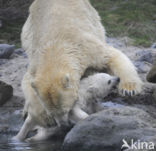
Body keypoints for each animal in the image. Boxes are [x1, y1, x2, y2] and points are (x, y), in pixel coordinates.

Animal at [20, 0, 143, 132]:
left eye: (66, 110)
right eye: (52, 113)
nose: (63, 124)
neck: (55, 49)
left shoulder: (85, 48)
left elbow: (112, 56)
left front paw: (129, 89)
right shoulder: (36, 62)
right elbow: (27, 82)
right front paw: (44, 118)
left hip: (93, 17)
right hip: (28, 32)